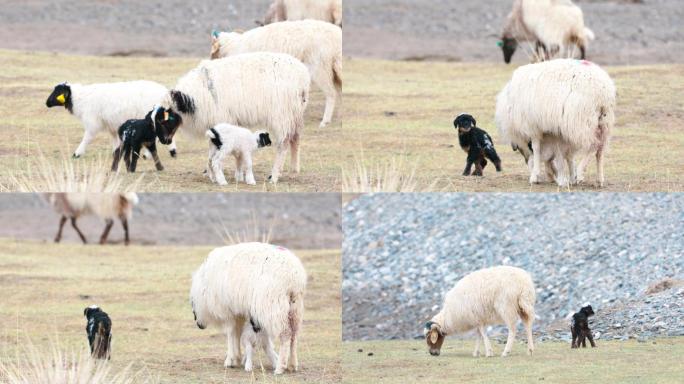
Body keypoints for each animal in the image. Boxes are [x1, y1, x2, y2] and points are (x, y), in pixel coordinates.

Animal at [45, 81, 179, 159]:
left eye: (58, 92)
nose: (46, 103)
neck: (79, 99)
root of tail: (165, 94)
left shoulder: (93, 122)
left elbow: (87, 138)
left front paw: (77, 153)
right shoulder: (111, 125)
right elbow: (115, 140)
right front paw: (116, 152)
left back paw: (148, 154)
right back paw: (172, 151)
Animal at [154, 53, 310, 184]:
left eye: (164, 119)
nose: (163, 141)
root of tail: (303, 76)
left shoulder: (221, 120)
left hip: (282, 115)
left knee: (283, 144)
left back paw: (274, 176)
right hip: (295, 114)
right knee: (296, 140)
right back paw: (293, 171)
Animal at [187, 243, 304, 376]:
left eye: (192, 302)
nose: (199, 325)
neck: (204, 288)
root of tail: (294, 276)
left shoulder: (227, 311)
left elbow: (230, 333)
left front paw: (230, 360)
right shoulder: (237, 311)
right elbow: (237, 332)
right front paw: (238, 358)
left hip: (272, 305)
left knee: (286, 334)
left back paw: (280, 367)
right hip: (295, 307)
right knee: (294, 334)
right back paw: (292, 364)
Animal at [494, 58, 616, 188]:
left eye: (520, 150)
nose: (526, 160)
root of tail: (603, 90)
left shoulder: (532, 126)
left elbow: (537, 149)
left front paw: (536, 176)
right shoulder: (554, 130)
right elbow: (563, 154)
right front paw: (560, 176)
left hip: (581, 121)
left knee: (593, 146)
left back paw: (580, 173)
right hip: (603, 122)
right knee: (600, 150)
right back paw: (599, 179)